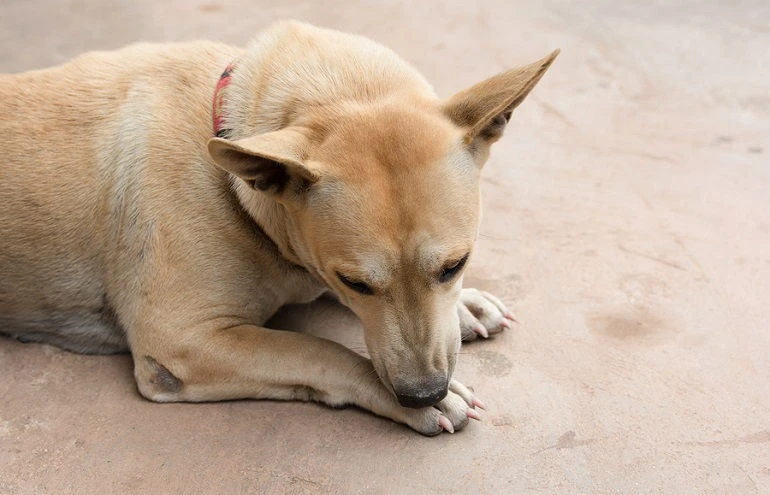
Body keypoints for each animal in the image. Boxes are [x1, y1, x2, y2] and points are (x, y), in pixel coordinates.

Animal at [0, 21, 556, 436]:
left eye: (456, 265)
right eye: (356, 282)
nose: (423, 393)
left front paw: (465, 304)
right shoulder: (181, 342)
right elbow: (317, 349)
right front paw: (410, 400)